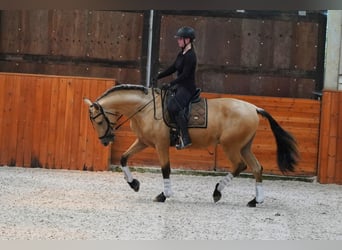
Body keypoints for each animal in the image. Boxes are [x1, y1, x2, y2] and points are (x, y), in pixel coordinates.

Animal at [84, 84, 298, 207]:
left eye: (99, 121)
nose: (105, 141)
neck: (145, 108)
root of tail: (254, 107)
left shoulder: (161, 144)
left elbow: (165, 169)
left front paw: (164, 195)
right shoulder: (144, 141)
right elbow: (123, 158)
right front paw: (134, 184)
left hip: (231, 146)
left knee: (240, 165)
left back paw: (217, 191)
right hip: (244, 146)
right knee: (256, 168)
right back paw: (255, 200)